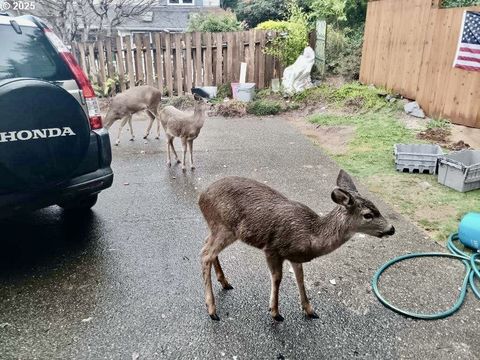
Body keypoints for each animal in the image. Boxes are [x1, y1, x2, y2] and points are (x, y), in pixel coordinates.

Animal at [198, 170, 394, 322]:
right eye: (368, 215)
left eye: (376, 208)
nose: (391, 229)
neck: (311, 236)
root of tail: (201, 197)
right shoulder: (272, 248)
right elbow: (277, 278)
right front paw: (275, 312)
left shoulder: (295, 256)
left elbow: (300, 278)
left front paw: (309, 310)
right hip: (225, 226)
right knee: (205, 253)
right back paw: (212, 309)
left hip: (219, 228)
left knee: (206, 245)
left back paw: (224, 282)